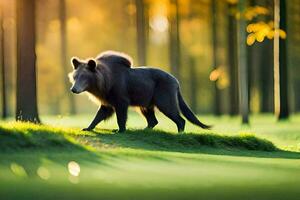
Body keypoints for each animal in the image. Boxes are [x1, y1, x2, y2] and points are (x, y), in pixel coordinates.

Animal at [69, 50, 211, 133]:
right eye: (75, 76)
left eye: (84, 77)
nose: (73, 89)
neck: (104, 85)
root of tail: (177, 81)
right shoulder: (107, 98)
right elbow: (101, 113)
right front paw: (87, 127)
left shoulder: (120, 94)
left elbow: (121, 113)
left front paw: (120, 129)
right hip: (147, 98)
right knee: (150, 116)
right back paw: (145, 129)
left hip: (163, 92)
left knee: (171, 110)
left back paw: (179, 131)